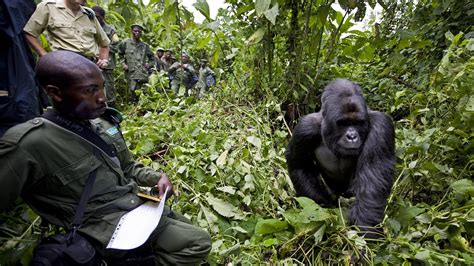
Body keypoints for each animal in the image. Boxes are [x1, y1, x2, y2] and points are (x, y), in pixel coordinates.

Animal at [286, 79, 394, 237]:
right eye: (343, 123)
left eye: (357, 122)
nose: (352, 136)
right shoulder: (305, 127)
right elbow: (300, 166)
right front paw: (322, 208)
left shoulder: (381, 126)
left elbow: (372, 181)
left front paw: (368, 231)